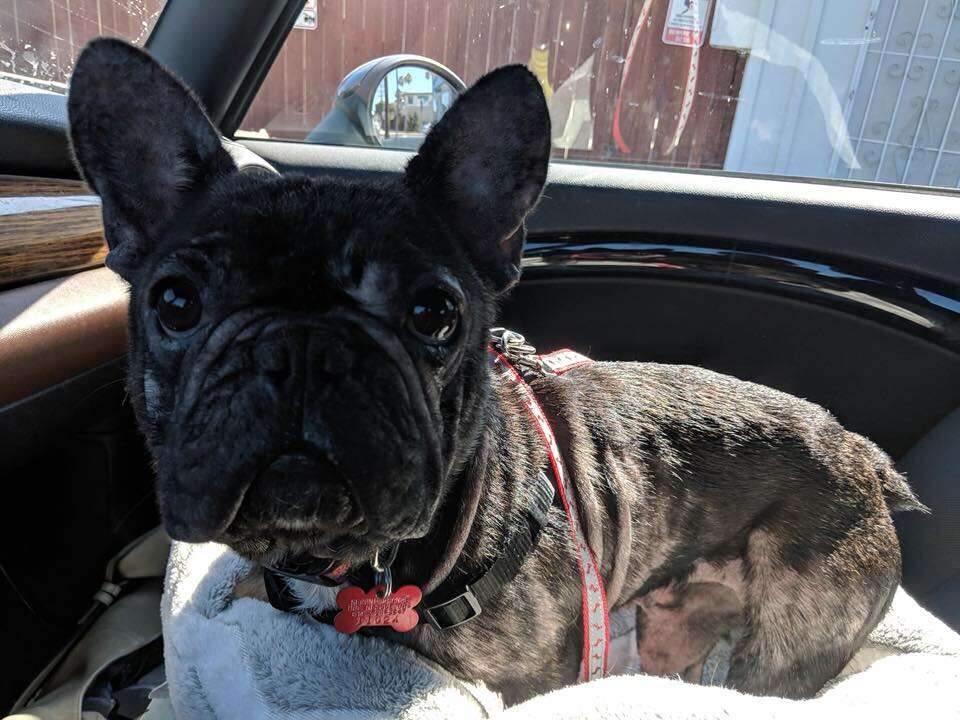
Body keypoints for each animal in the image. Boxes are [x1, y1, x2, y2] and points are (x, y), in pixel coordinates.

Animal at [68, 38, 924, 705]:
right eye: (175, 302)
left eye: (434, 313)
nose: (304, 348)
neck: (350, 569)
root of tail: (864, 457)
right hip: (672, 624)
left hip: (788, 642)